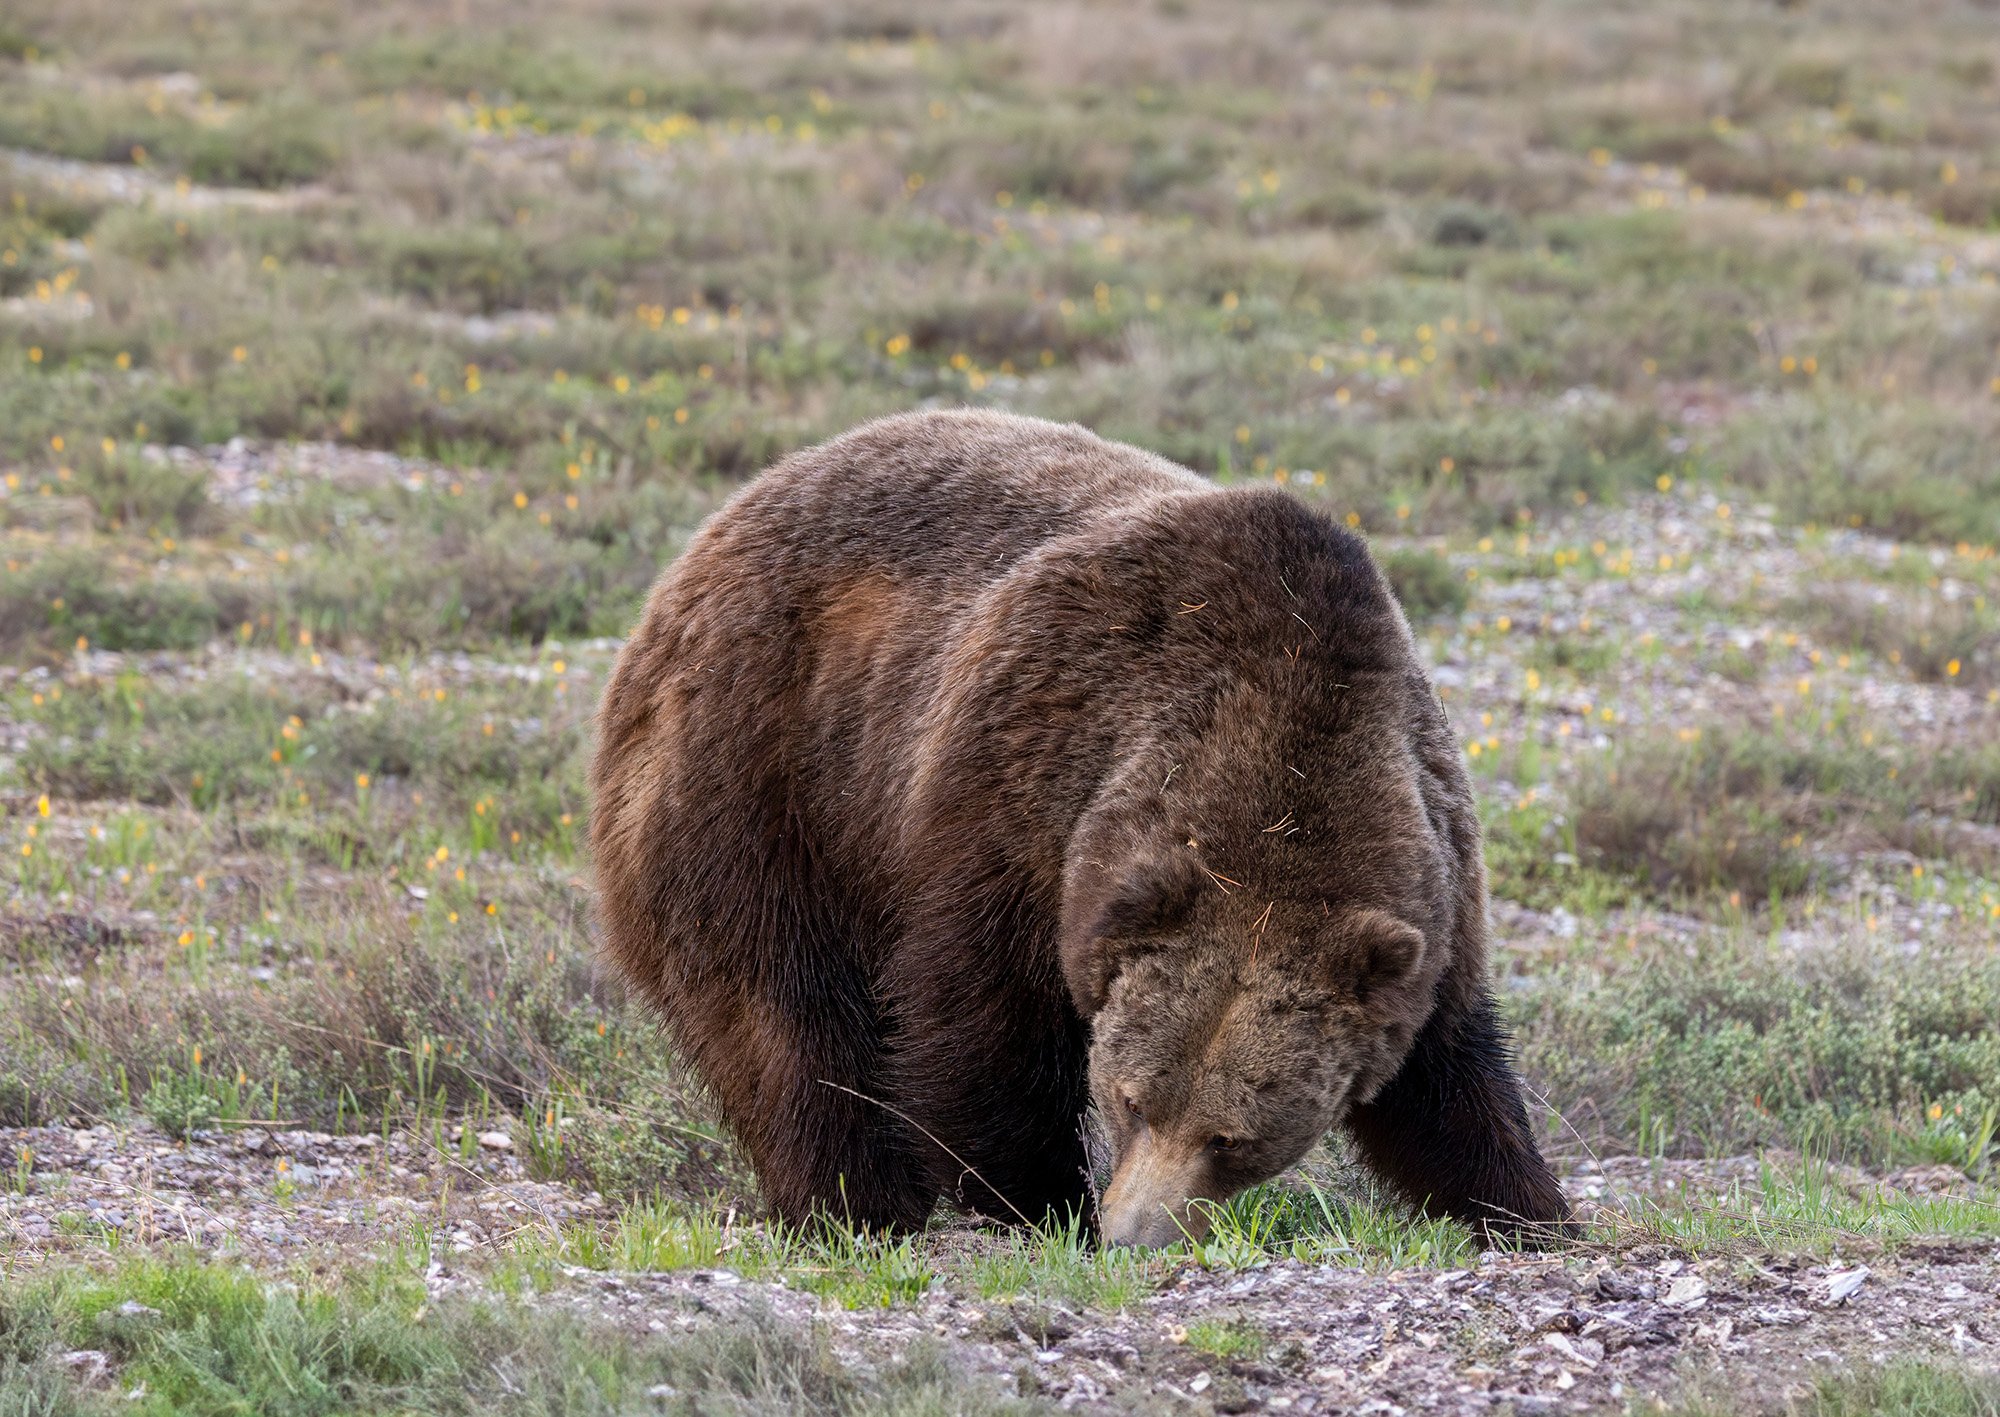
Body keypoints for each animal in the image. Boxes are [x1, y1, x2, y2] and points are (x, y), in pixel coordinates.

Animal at [590, 408, 1572, 1247]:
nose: (1136, 1230)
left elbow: (1446, 1083)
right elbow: (979, 1029)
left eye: (1232, 1136)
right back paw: (855, 1205)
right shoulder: (1015, 799)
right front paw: (1043, 1199)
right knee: (785, 1021)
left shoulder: (1428, 881)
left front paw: (1529, 1210)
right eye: (1131, 1097)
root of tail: (699, 549)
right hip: (767, 779)